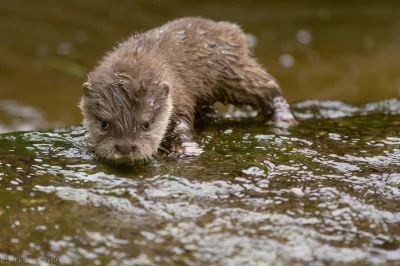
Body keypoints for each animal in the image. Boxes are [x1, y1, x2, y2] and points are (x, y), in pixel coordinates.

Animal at [79, 17, 296, 162]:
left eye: (146, 124)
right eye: (104, 124)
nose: (124, 148)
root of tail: (232, 30)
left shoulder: (179, 95)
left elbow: (182, 124)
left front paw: (187, 149)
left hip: (236, 74)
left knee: (268, 87)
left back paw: (282, 118)